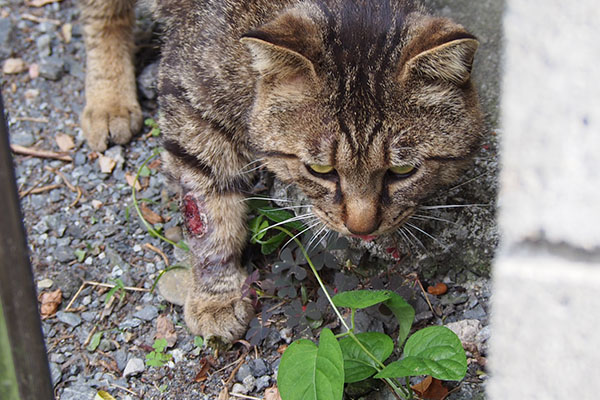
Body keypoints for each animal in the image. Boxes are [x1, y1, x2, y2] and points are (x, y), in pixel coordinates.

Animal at [78, 0, 482, 344]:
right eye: (320, 169)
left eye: (403, 170)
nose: (361, 227)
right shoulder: (191, 105)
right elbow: (208, 214)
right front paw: (216, 296)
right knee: (102, 19)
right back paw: (108, 101)